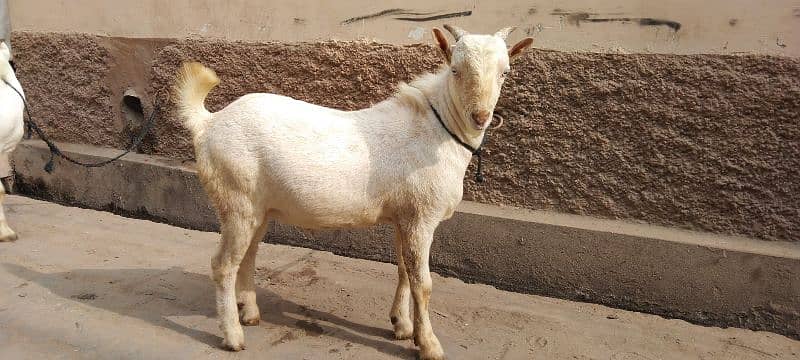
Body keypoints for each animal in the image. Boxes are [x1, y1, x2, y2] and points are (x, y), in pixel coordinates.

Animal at [178, 26, 536, 360]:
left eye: (505, 72)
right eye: (455, 69)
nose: (480, 117)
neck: (438, 129)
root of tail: (208, 123)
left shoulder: (403, 216)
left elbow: (404, 270)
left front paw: (402, 326)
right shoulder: (422, 217)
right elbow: (423, 283)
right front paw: (429, 344)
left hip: (259, 207)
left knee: (249, 255)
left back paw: (250, 313)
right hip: (236, 199)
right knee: (223, 265)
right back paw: (233, 336)